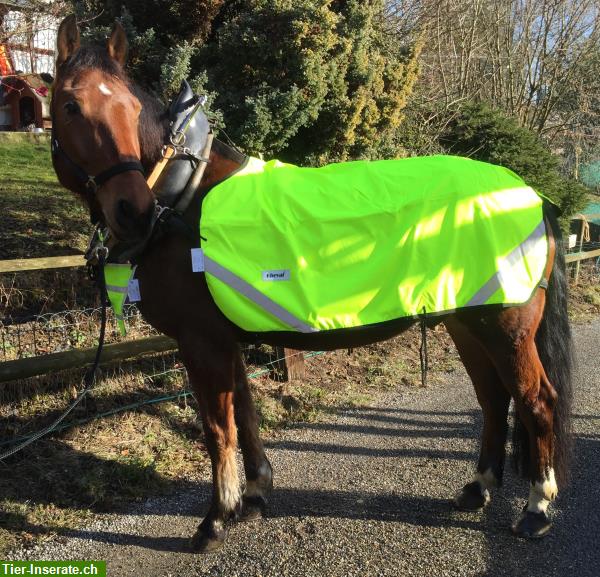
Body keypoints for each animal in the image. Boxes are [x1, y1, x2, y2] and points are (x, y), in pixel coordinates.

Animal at [50, 15, 572, 552]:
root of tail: (535, 196)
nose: (131, 209)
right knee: (493, 399)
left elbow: (218, 429)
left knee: (536, 402)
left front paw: (215, 520)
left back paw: (536, 507)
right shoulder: (226, 337)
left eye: (131, 109)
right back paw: (479, 488)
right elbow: (245, 415)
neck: (184, 197)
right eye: (70, 105)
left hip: (507, 326)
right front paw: (253, 496)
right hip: (467, 322)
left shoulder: (200, 341)